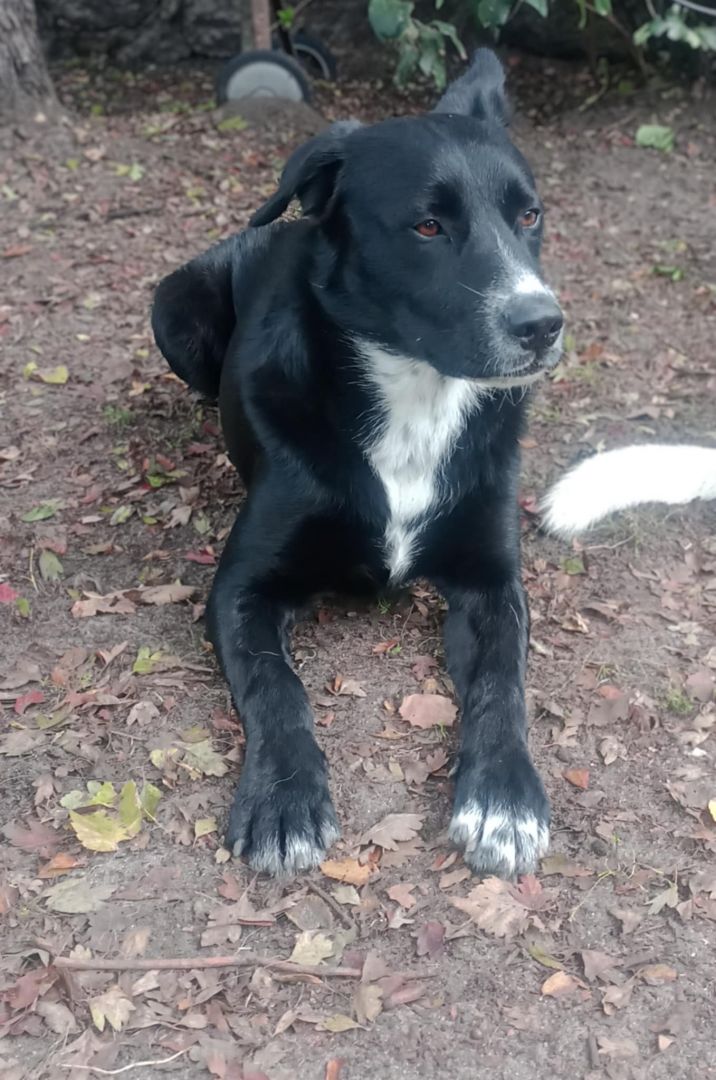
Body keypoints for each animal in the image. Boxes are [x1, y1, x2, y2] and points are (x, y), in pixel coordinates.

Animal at [152, 49, 565, 879]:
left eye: (529, 216)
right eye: (428, 225)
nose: (544, 325)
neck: (417, 397)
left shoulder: (493, 580)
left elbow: (504, 684)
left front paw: (504, 800)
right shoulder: (241, 588)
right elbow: (278, 686)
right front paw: (285, 802)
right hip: (173, 302)